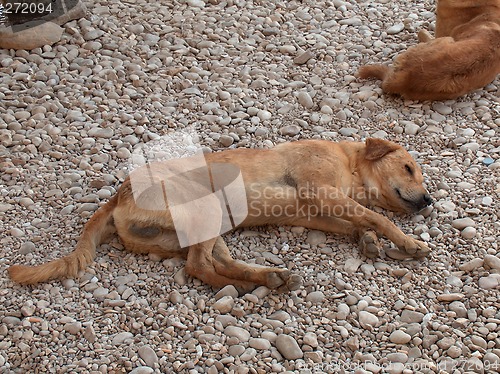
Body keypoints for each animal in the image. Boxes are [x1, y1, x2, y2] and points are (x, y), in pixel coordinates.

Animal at [7, 138, 432, 292]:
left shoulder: (317, 212)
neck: (348, 162)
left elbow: (359, 222)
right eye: (409, 168)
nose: (429, 200)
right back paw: (245, 287)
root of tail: (117, 195)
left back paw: (268, 277)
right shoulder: (320, 192)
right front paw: (408, 242)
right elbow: (377, 217)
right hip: (208, 207)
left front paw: (368, 240)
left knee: (213, 261)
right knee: (198, 266)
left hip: (210, 225)